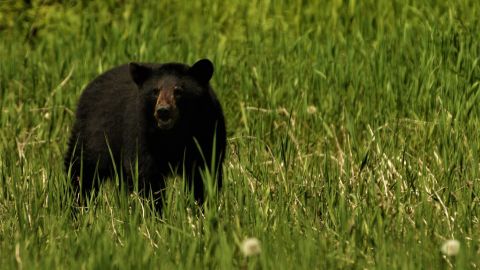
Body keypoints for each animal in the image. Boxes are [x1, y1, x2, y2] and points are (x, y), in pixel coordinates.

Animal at [64, 59, 227, 207]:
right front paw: (155, 211)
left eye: (178, 91)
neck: (173, 133)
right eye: (155, 91)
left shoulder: (207, 129)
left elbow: (204, 171)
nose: (163, 111)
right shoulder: (141, 131)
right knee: (81, 171)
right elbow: (145, 173)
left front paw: (202, 206)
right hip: (92, 135)